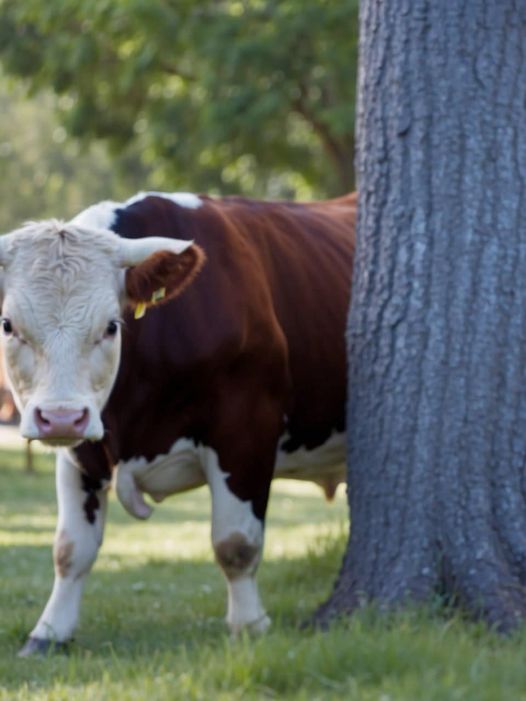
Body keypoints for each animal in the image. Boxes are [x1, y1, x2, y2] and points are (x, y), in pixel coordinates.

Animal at [0, 189, 356, 652]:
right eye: (9, 325)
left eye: (111, 326)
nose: (62, 416)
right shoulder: (80, 451)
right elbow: (70, 549)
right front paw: (49, 633)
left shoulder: (246, 432)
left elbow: (235, 543)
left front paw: (250, 626)